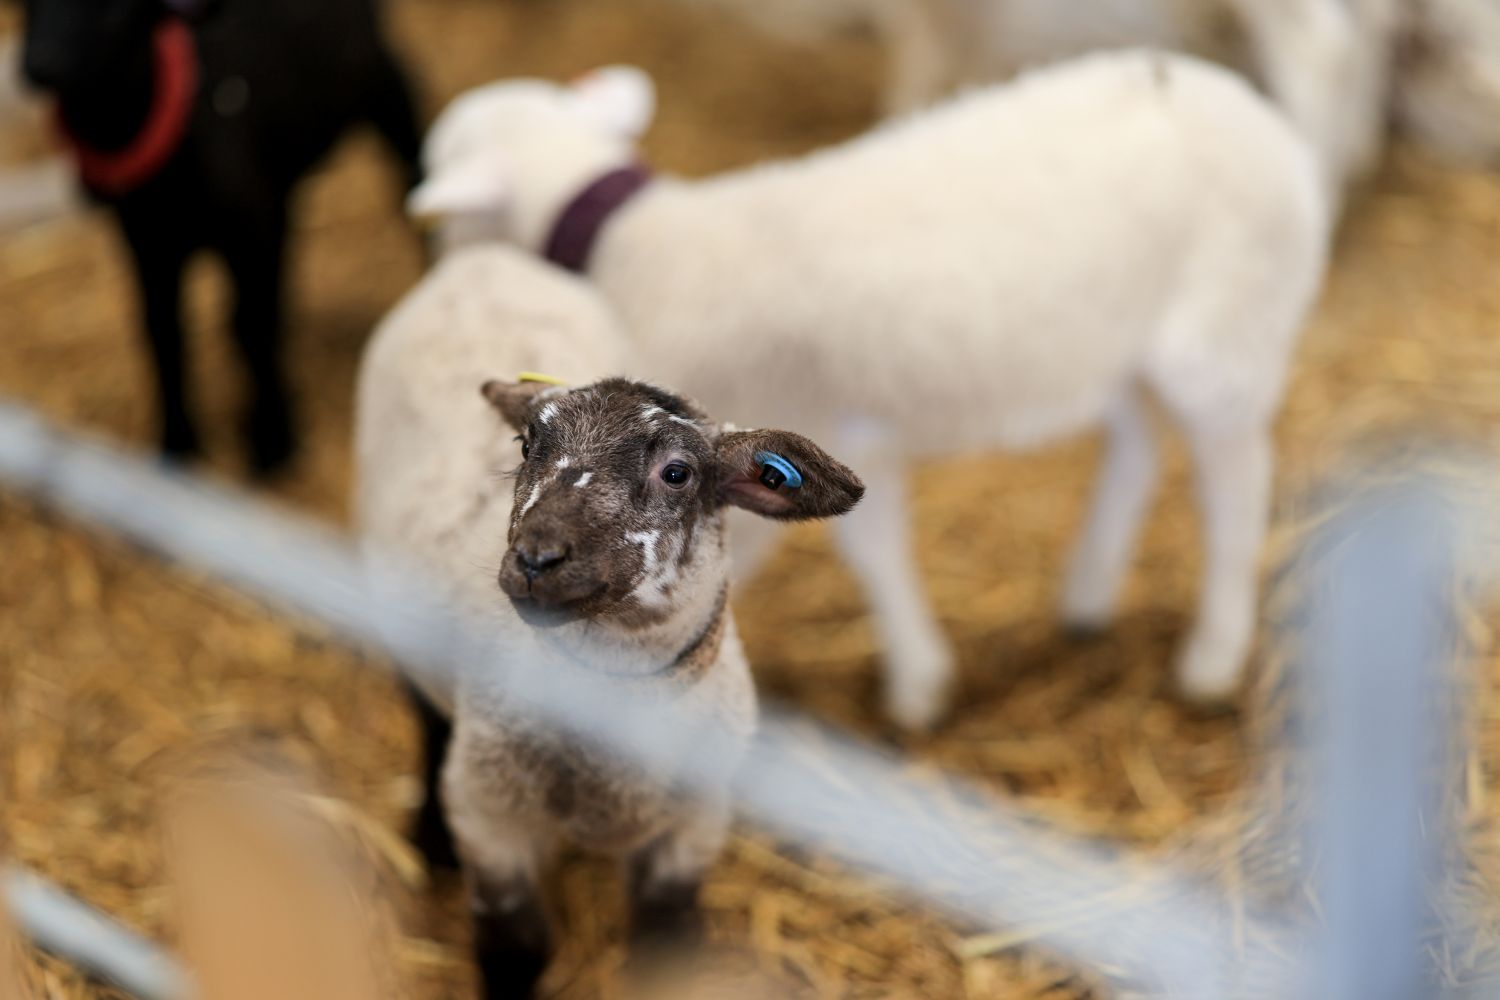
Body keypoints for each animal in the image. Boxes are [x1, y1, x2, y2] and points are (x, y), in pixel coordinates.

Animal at [18, 0, 423, 473]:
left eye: (118, 11)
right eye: (28, 6)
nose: (40, 64)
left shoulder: (249, 227)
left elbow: (249, 324)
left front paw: (273, 443)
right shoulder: (147, 239)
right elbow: (162, 329)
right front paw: (176, 443)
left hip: (387, 88)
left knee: (410, 182)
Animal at [354, 246, 865, 998]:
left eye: (677, 472)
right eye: (525, 444)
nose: (535, 558)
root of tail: (481, 258)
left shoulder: (693, 829)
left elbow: (663, 950)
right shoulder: (490, 816)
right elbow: (516, 947)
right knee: (422, 711)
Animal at [406, 52, 1331, 731]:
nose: (437, 261)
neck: (636, 245)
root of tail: (1254, 112)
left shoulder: (792, 418)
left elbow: (857, 549)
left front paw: (917, 685)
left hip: (1224, 339)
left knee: (1235, 485)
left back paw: (1211, 658)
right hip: (1120, 344)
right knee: (1138, 444)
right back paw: (1088, 595)